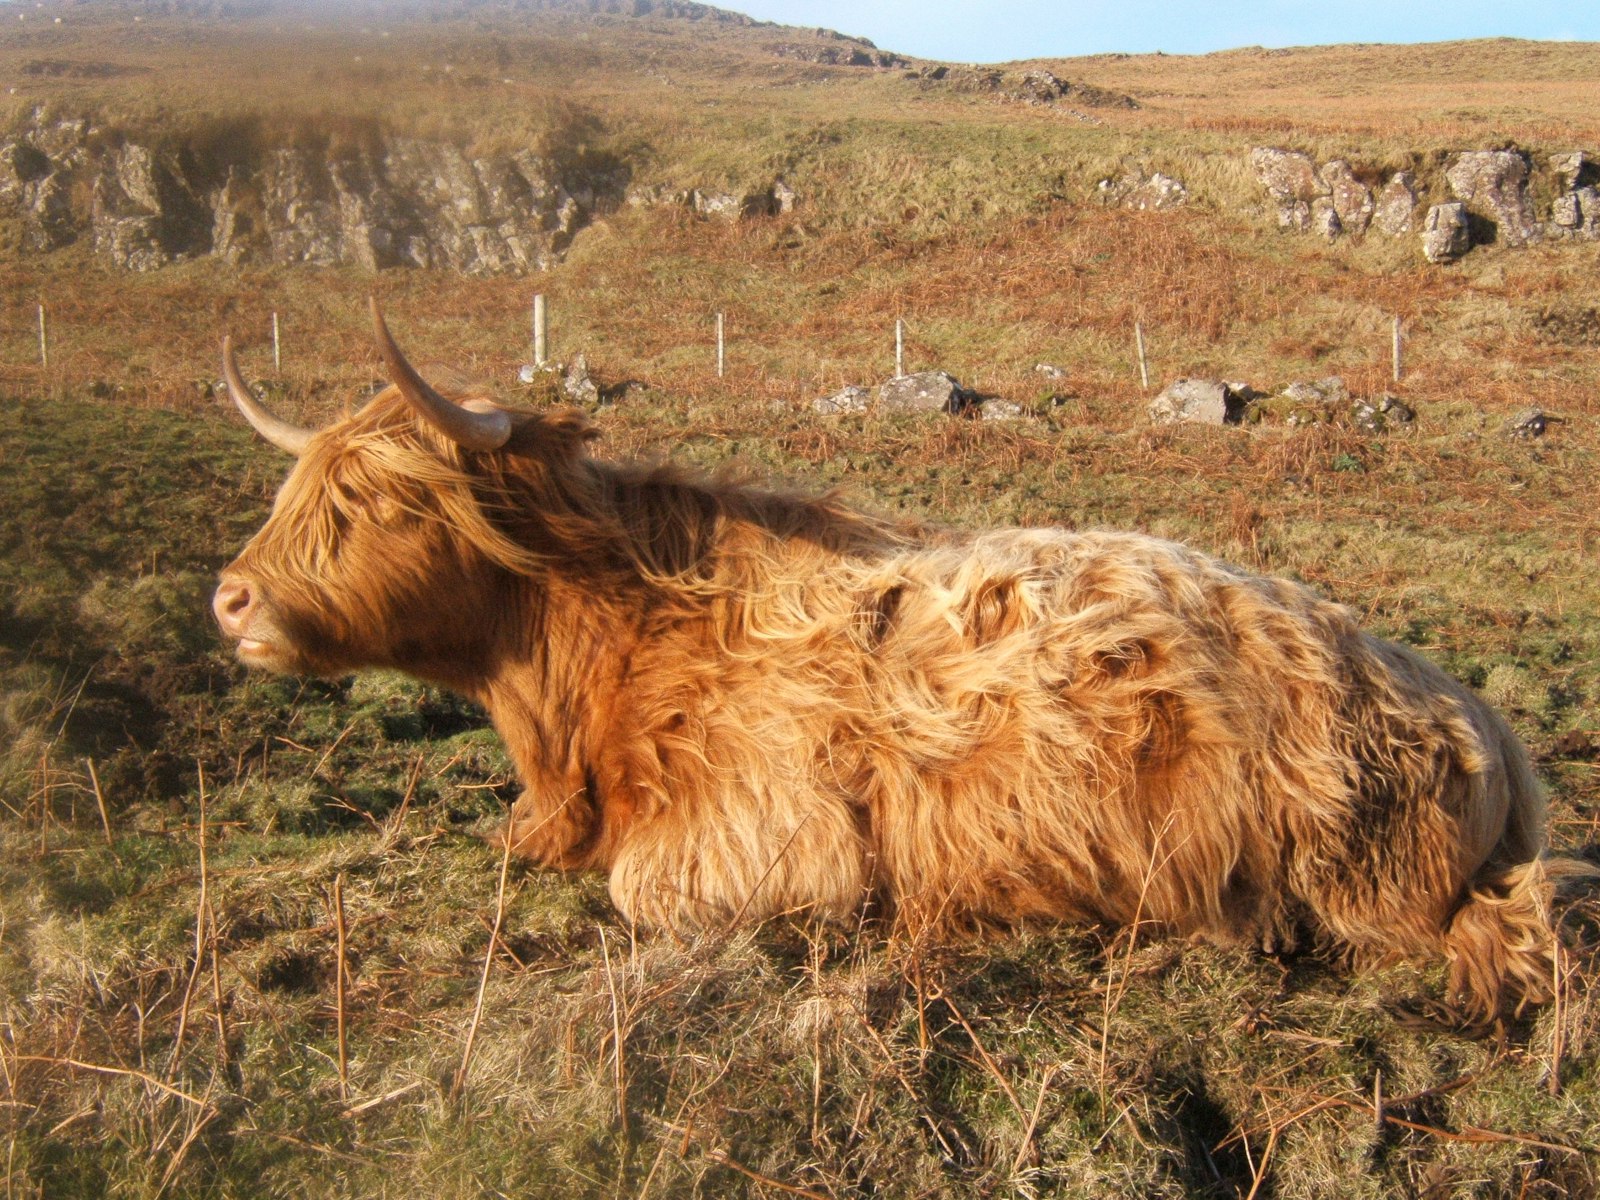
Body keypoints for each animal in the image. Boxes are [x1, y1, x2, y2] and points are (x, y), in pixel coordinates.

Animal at [209, 299, 1587, 1024]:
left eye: (380, 501)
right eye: (298, 484)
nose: (229, 600)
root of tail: (1479, 719)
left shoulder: (766, 843)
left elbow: (645, 894)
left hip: (1366, 886)